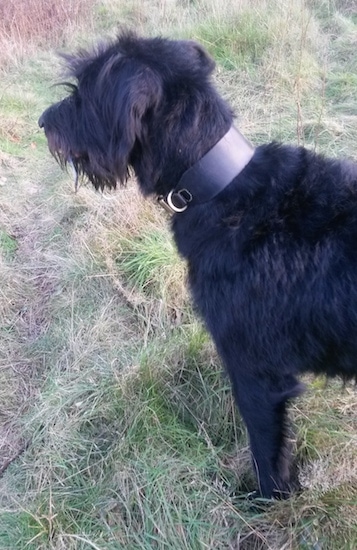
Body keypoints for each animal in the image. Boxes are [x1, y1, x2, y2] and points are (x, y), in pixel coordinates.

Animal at [39, 32, 356, 502]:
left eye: (84, 93)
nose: (43, 121)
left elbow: (267, 452)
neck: (223, 188)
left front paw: (267, 502)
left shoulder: (256, 374)